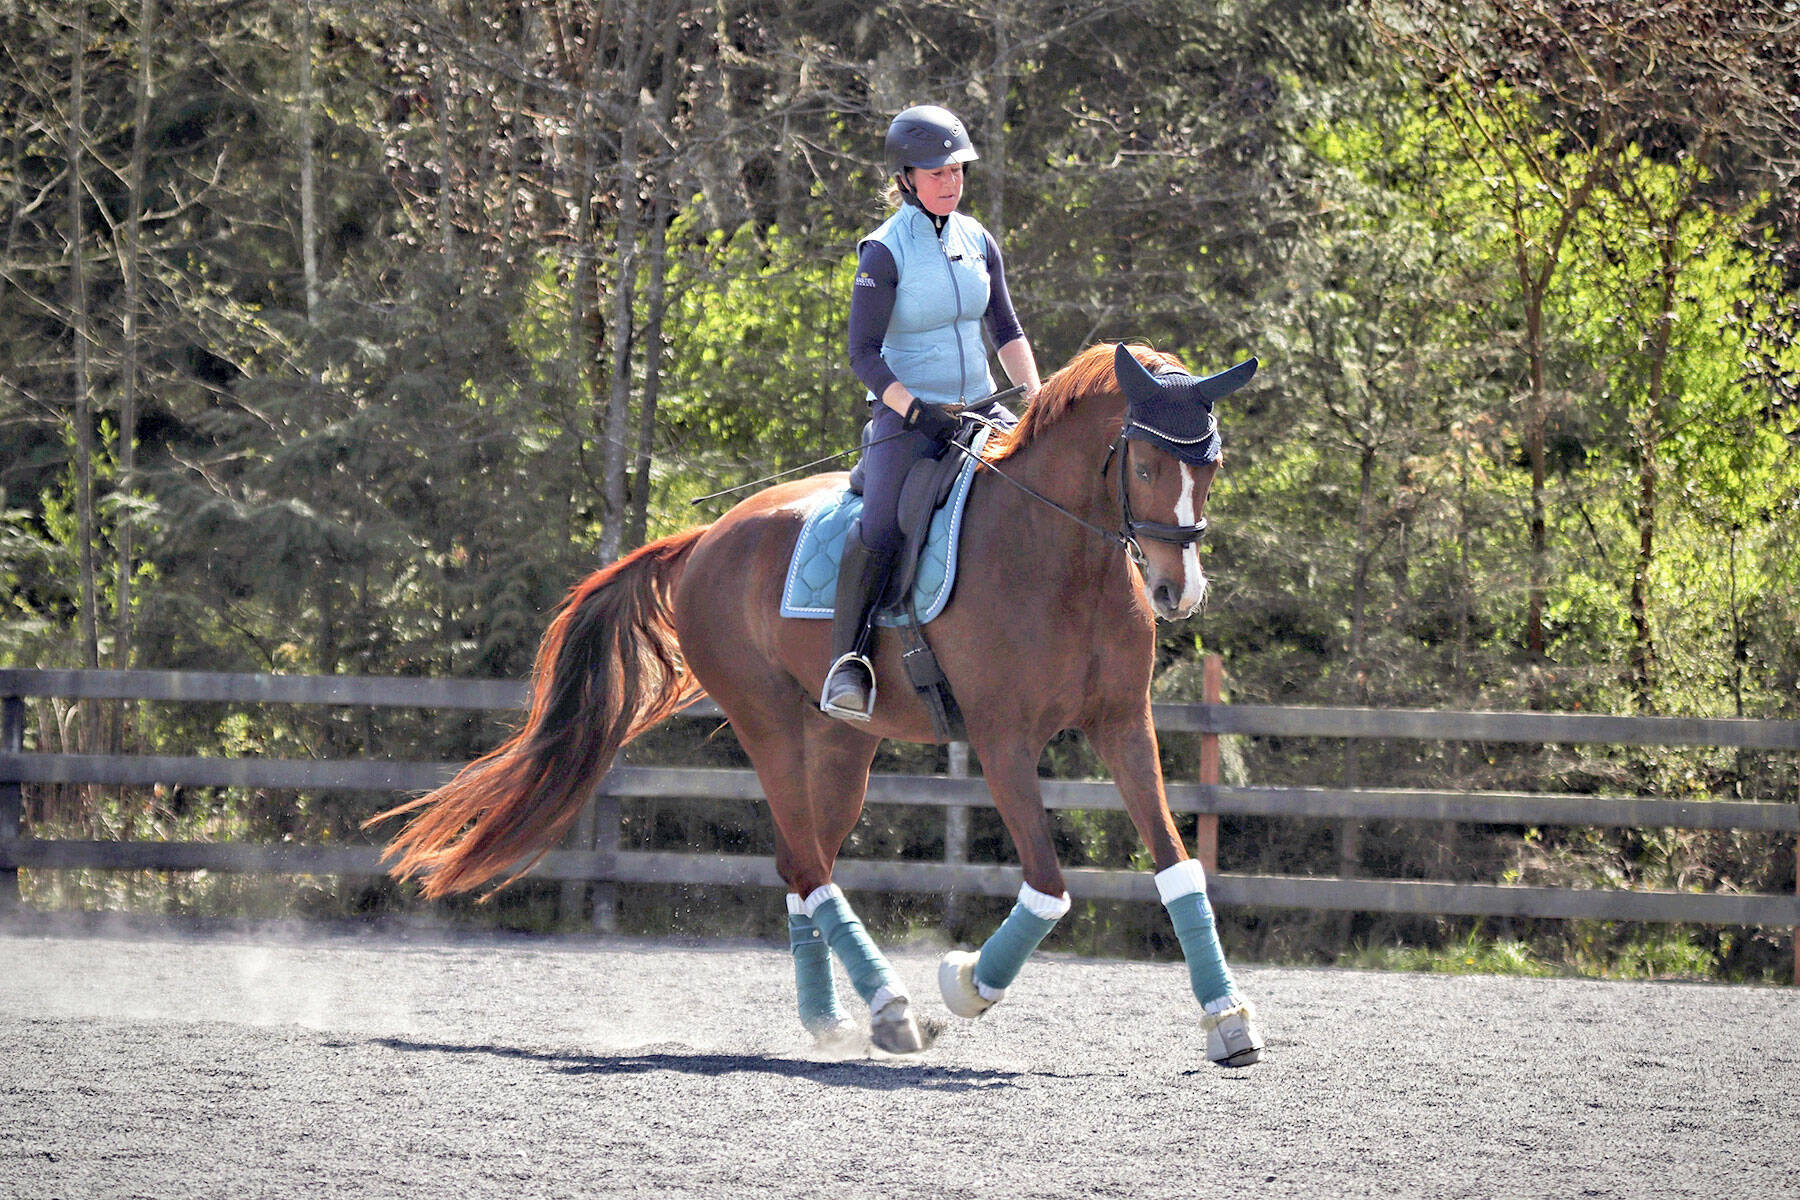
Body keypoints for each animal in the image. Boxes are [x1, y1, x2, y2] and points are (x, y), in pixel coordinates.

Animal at [368, 341, 1265, 1067]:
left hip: (842, 745)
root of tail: (704, 540)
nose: (1177, 591)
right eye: (1144, 466)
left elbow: (1177, 864)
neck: (1059, 554)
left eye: (1212, 466)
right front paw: (965, 982)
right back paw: (891, 1010)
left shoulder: (1124, 727)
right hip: (764, 722)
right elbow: (1047, 886)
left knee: (803, 865)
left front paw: (1228, 1022)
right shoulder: (1003, 741)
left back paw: (835, 1018)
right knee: (807, 863)